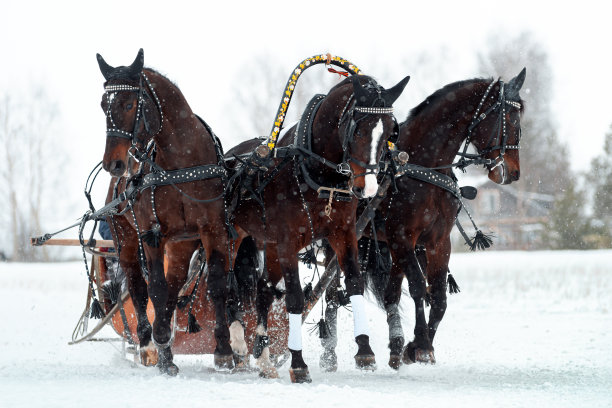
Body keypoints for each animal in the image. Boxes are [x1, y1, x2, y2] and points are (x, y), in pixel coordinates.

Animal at [97, 49, 233, 374]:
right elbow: (155, 288)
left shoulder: (213, 229)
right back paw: (149, 344)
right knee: (138, 286)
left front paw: (223, 350)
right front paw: (163, 350)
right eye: (103, 105)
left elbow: (216, 284)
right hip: (126, 238)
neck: (179, 161)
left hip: (182, 243)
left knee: (175, 286)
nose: (113, 163)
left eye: (129, 103)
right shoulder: (152, 233)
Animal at [225, 74, 406, 382]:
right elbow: (295, 299)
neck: (316, 171)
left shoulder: (343, 234)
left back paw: (263, 356)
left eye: (389, 134)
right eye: (357, 129)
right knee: (225, 284)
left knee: (263, 290)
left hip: (270, 245)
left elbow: (354, 282)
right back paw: (235, 345)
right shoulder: (288, 242)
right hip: (231, 237)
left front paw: (365, 349)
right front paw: (298, 363)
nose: (367, 188)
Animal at [320, 69, 524, 370]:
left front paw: (413, 346)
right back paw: (330, 353)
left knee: (389, 293)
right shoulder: (403, 238)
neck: (424, 166)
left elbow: (437, 295)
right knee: (332, 293)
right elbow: (417, 286)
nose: (512, 172)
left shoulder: (438, 241)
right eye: (510, 120)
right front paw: (422, 344)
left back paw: (394, 346)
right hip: (337, 240)